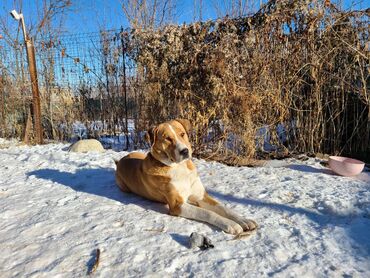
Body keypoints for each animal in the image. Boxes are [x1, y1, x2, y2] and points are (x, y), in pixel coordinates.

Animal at [115, 119, 258, 235]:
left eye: (182, 134)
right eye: (167, 138)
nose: (184, 151)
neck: (179, 167)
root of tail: (120, 161)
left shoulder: (201, 196)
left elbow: (224, 208)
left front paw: (243, 220)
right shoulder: (177, 205)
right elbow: (208, 213)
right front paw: (231, 224)